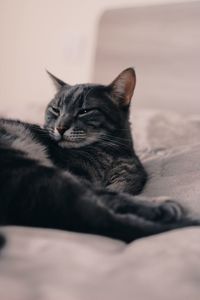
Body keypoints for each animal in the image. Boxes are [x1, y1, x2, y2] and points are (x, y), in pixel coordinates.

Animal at [0, 68, 197, 241]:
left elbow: (118, 190)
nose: (60, 127)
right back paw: (168, 210)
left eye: (84, 111)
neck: (109, 152)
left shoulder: (129, 178)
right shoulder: (79, 174)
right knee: (95, 213)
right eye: (55, 110)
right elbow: (110, 194)